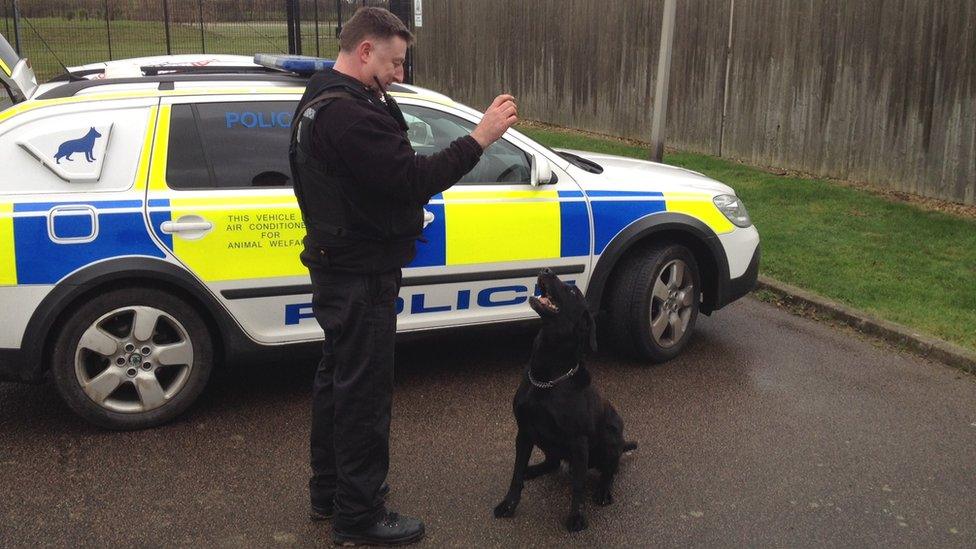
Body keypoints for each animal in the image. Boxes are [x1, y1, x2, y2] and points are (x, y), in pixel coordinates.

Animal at [492, 268, 636, 528]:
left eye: (572, 291)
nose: (547, 269)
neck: (547, 378)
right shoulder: (524, 432)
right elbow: (516, 474)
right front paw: (509, 504)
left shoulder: (578, 442)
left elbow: (578, 485)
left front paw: (577, 517)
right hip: (542, 439)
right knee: (552, 461)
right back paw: (533, 469)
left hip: (610, 438)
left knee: (610, 471)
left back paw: (603, 490)